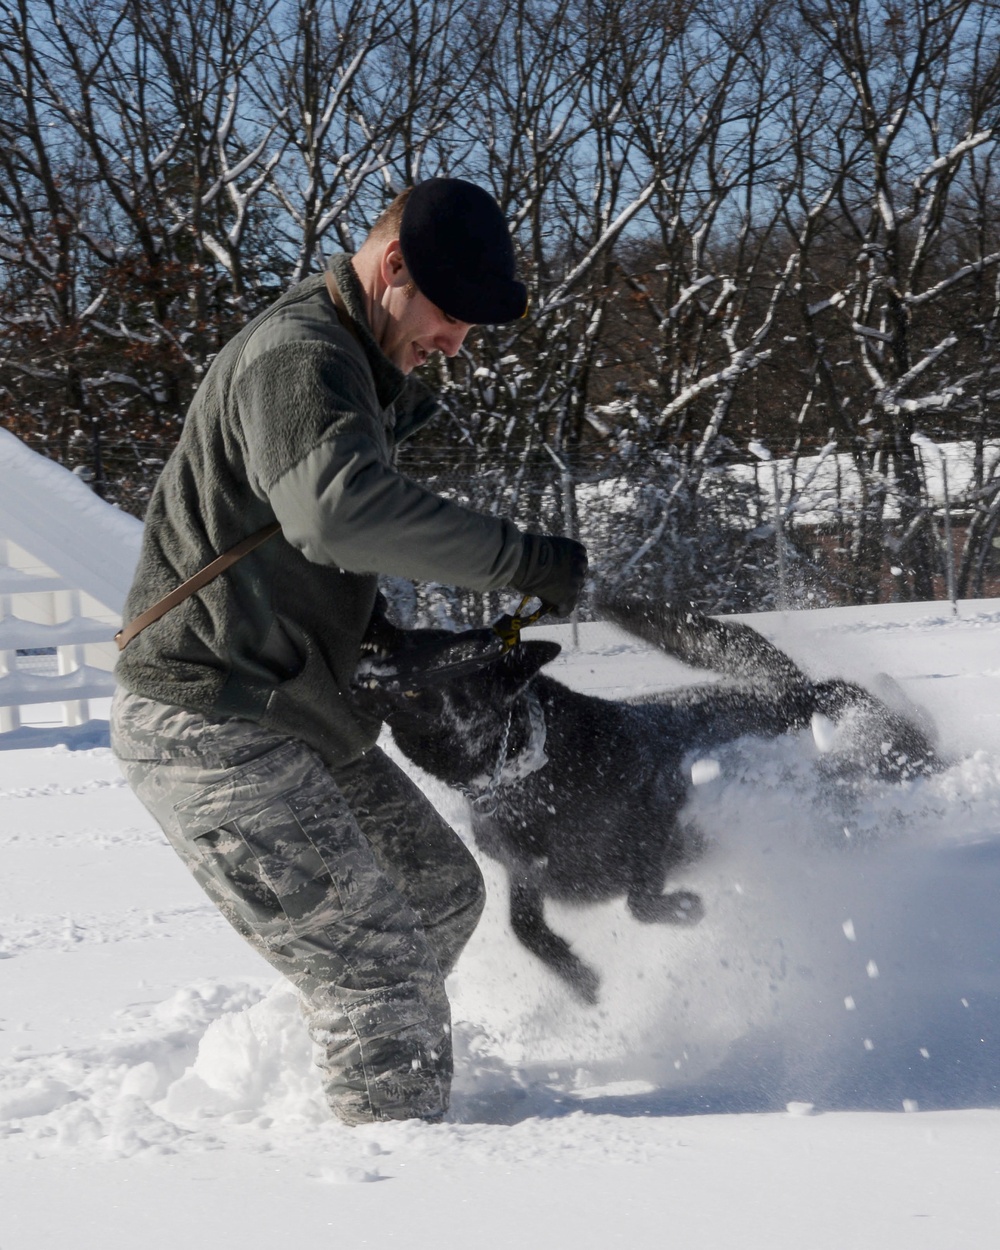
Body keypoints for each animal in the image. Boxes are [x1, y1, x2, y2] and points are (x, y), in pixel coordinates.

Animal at [355, 597, 940, 1005]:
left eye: (432, 649)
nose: (372, 635)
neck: (527, 769)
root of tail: (793, 691)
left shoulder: (654, 827)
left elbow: (639, 901)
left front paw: (686, 908)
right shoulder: (525, 873)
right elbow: (525, 930)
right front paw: (580, 980)